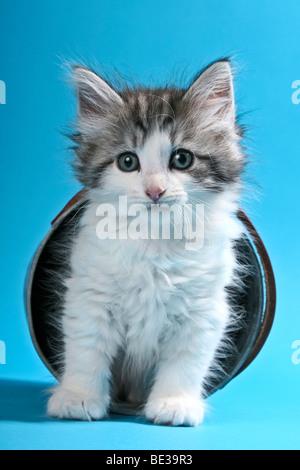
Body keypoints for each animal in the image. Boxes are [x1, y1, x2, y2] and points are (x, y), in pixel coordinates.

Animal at [47, 58, 246, 426]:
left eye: (182, 159)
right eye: (128, 161)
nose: (155, 191)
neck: (155, 241)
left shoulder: (202, 310)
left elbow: (186, 362)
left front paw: (174, 403)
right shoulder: (90, 297)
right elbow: (86, 350)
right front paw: (79, 397)